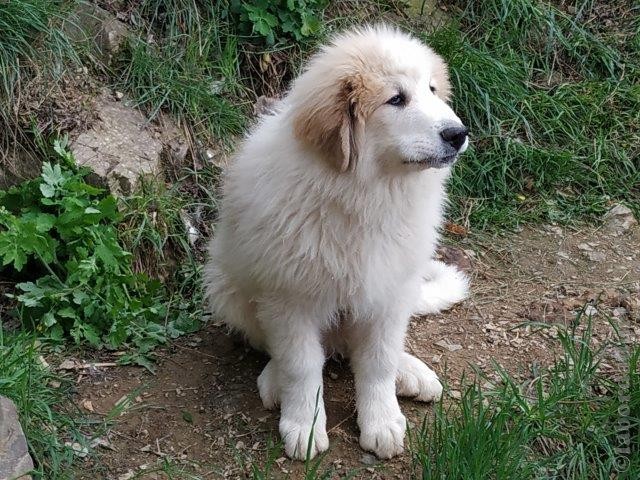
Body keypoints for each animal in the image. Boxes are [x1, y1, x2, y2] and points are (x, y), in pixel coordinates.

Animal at [205, 26, 470, 462]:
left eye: (432, 90)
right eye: (396, 99)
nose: (458, 134)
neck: (365, 194)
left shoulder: (389, 290)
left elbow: (378, 361)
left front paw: (382, 422)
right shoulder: (289, 298)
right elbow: (301, 365)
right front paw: (304, 426)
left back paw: (410, 372)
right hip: (227, 289)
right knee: (283, 350)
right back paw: (274, 381)